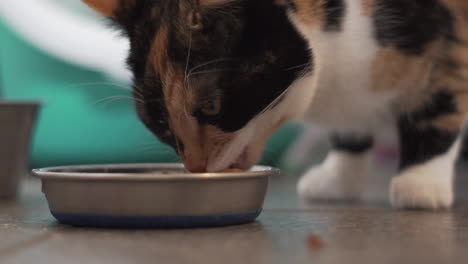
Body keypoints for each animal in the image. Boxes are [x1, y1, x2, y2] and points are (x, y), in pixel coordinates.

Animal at [83, 0, 468, 210]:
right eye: (160, 122)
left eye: (211, 108)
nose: (195, 167)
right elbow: (350, 127)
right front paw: (338, 178)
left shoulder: (448, 41)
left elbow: (439, 107)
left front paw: (420, 182)